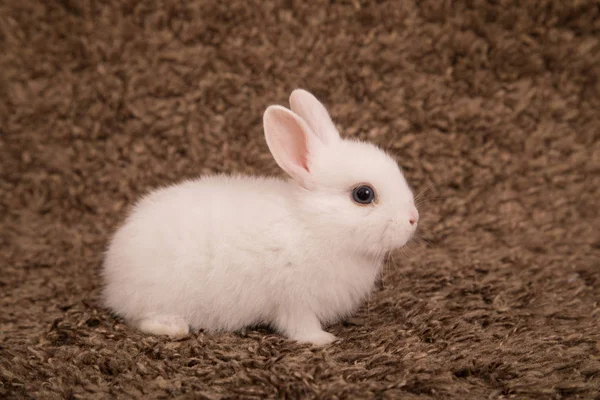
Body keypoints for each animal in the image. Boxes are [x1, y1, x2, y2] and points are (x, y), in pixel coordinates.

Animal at [102, 89, 418, 346]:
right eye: (363, 194)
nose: (413, 219)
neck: (316, 224)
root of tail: (112, 276)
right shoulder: (295, 300)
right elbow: (300, 326)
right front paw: (322, 339)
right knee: (143, 319)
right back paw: (175, 327)